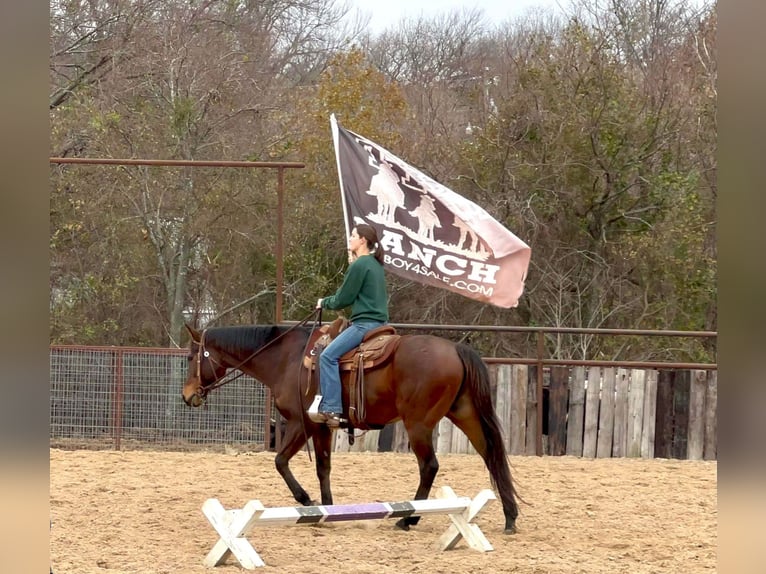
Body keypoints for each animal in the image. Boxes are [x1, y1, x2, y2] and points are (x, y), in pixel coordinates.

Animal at [180, 316, 520, 536]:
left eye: (191, 356)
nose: (187, 396)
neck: (286, 359)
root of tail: (454, 349)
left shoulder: (302, 424)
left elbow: (281, 461)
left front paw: (307, 501)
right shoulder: (322, 428)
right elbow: (323, 468)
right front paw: (326, 510)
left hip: (418, 424)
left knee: (430, 466)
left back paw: (408, 520)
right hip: (464, 414)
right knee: (491, 455)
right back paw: (510, 517)